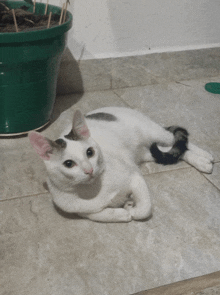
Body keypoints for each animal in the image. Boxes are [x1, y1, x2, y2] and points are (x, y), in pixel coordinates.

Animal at [28, 107, 214, 223]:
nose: (89, 170)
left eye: (89, 152)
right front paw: (122, 212)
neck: (94, 188)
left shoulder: (135, 177)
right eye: (68, 163)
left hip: (153, 132)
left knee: (178, 141)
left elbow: (145, 208)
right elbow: (97, 215)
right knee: (174, 151)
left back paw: (205, 156)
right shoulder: (80, 210)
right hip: (148, 153)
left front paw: (133, 210)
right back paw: (200, 161)